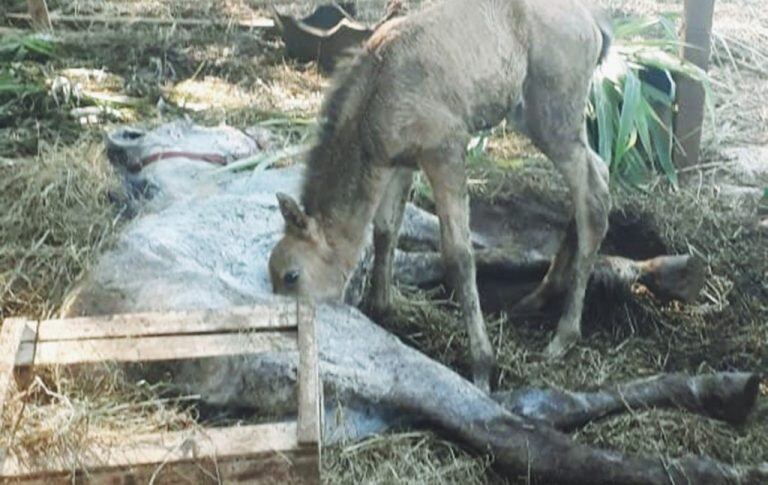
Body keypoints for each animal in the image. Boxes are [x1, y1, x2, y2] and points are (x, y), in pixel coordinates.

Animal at [270, 0, 612, 392]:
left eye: (291, 276)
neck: (376, 94)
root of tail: (593, 24)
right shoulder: (400, 162)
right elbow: (385, 229)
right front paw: (382, 307)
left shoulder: (445, 150)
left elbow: (459, 255)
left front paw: (482, 367)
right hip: (533, 117)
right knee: (599, 174)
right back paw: (537, 298)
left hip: (553, 119)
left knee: (592, 198)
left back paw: (563, 335)